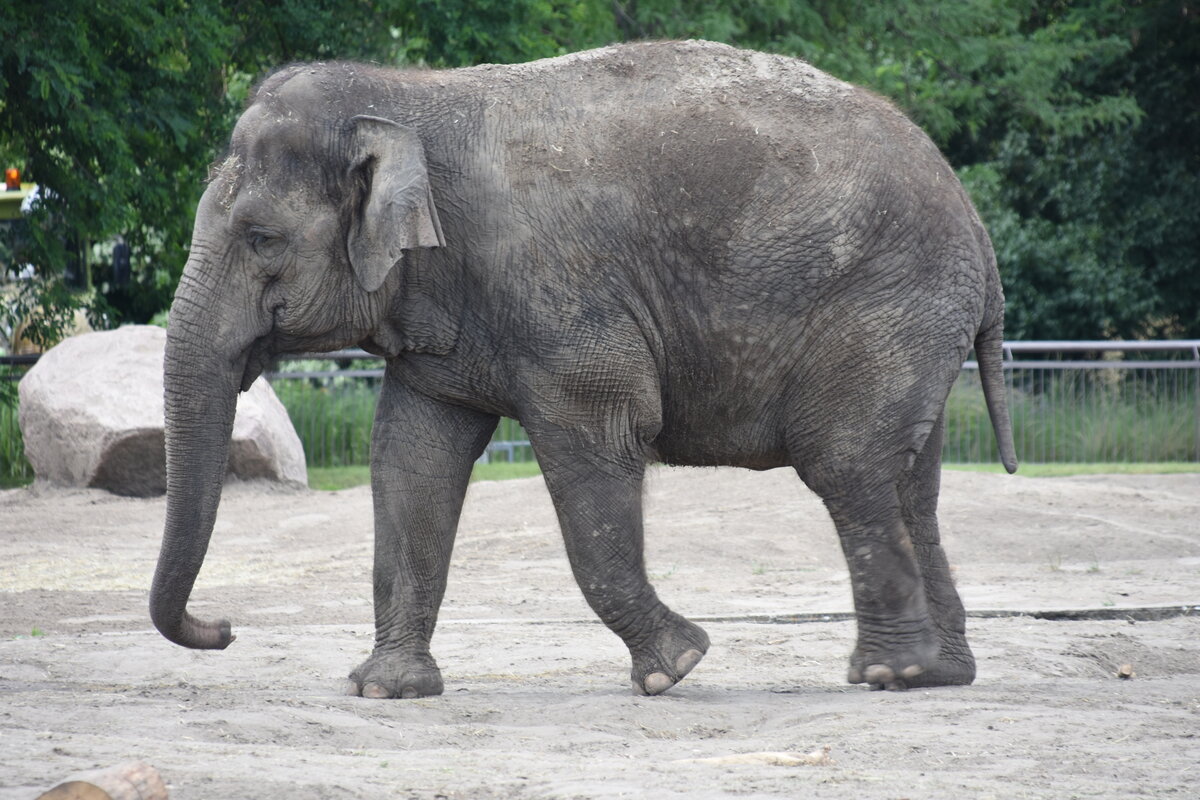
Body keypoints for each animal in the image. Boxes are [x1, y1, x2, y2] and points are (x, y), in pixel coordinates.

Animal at [147, 40, 1012, 695]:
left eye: (259, 238)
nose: (225, 628)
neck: (409, 98)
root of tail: (974, 220)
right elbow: (410, 459)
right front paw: (386, 690)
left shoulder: (562, 297)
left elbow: (596, 442)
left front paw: (676, 666)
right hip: (908, 324)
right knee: (911, 480)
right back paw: (939, 675)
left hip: (880, 305)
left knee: (848, 464)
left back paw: (890, 673)